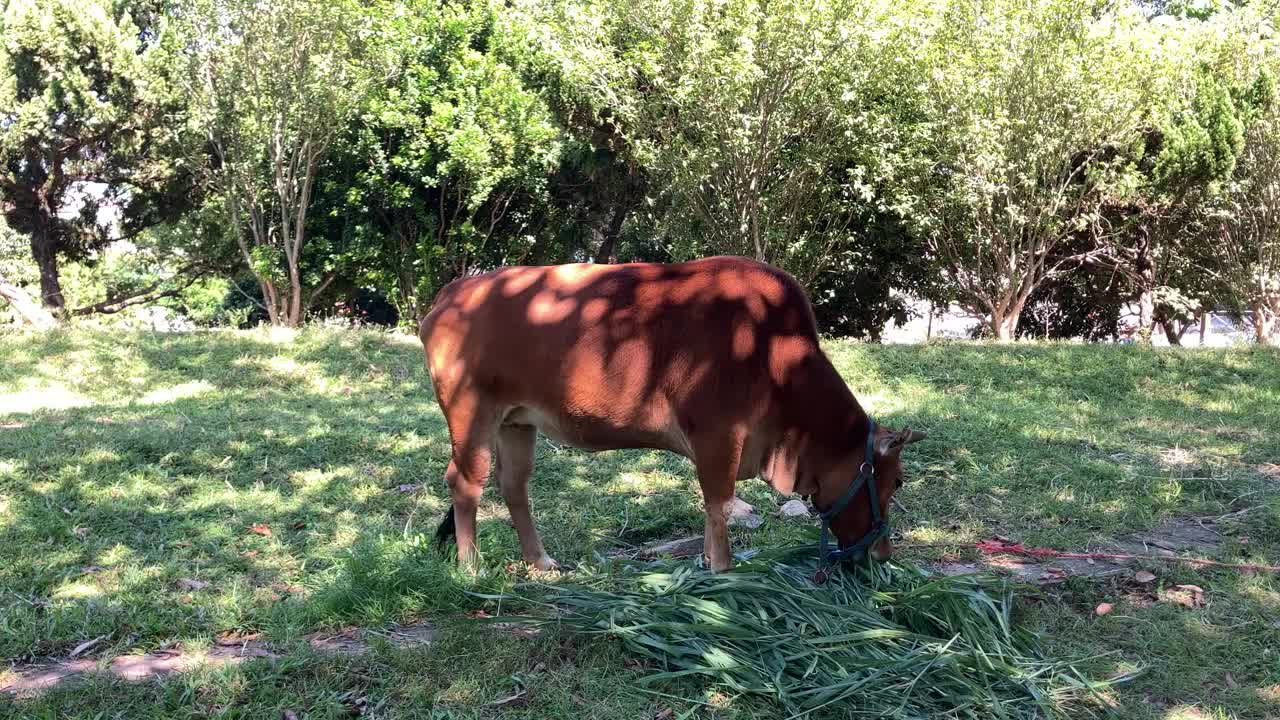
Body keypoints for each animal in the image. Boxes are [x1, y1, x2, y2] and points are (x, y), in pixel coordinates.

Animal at [422, 254, 931, 568]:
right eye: (897, 481)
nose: (883, 553)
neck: (776, 356)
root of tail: (451, 294)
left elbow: (712, 508)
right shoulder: (718, 436)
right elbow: (718, 504)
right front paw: (722, 569)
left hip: (517, 422)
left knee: (514, 486)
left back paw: (540, 560)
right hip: (471, 413)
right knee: (464, 483)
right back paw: (470, 563)